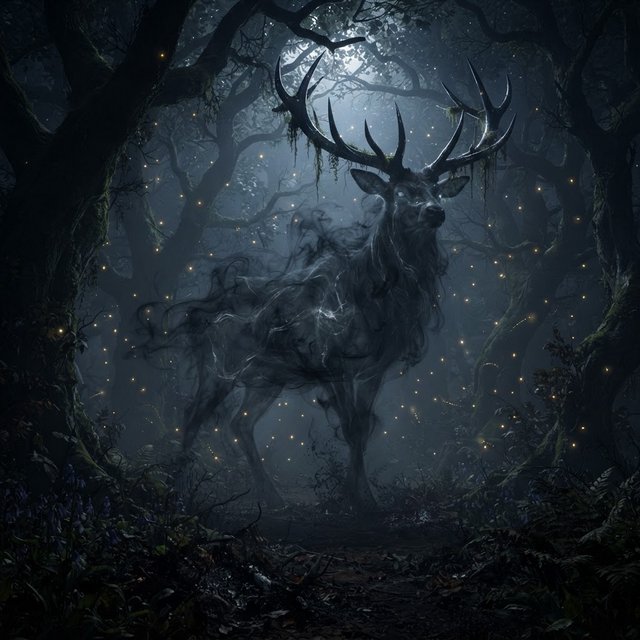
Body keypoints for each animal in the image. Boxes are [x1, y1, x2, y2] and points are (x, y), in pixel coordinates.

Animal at [177, 54, 514, 511]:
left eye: (436, 191)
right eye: (400, 192)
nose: (435, 212)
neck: (373, 304)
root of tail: (199, 310)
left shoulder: (376, 365)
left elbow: (363, 427)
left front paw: (363, 494)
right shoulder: (329, 357)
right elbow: (351, 426)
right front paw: (358, 498)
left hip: (268, 375)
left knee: (239, 421)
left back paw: (273, 496)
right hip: (216, 364)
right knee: (192, 417)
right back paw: (176, 484)